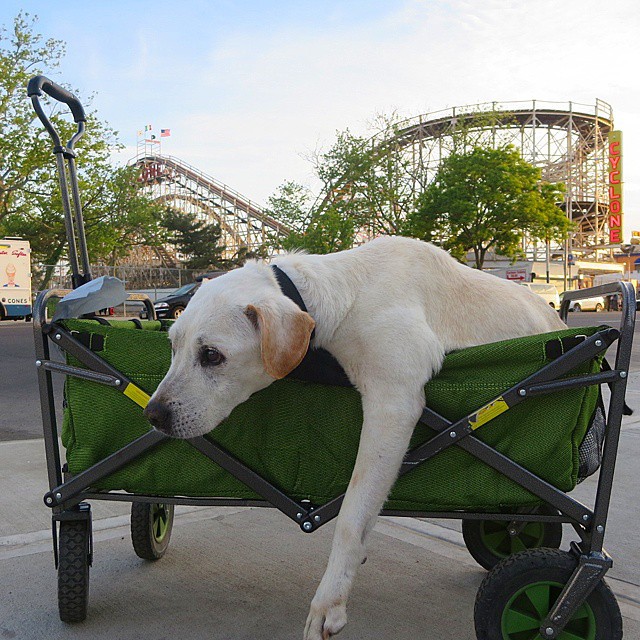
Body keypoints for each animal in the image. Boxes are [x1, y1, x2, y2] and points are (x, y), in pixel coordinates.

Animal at [145, 236, 564, 640]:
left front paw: (330, 599)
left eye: (212, 355)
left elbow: (351, 514)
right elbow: (364, 512)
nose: (152, 414)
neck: (346, 295)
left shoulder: (392, 403)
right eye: (173, 347)